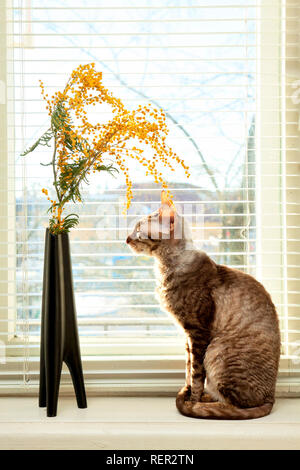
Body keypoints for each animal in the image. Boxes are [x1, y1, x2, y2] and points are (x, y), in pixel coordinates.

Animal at [126, 193, 282, 420]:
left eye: (138, 230)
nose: (126, 238)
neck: (166, 267)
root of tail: (271, 396)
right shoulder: (187, 336)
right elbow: (188, 369)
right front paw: (189, 392)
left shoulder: (198, 332)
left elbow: (197, 373)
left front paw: (192, 400)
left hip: (217, 350)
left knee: (234, 405)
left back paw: (203, 403)